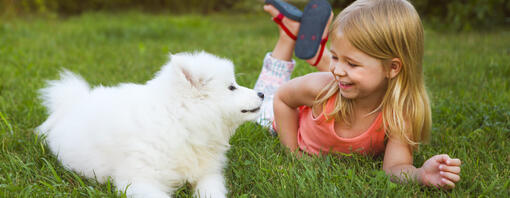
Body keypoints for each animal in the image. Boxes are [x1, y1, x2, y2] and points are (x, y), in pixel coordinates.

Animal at [36, 51, 262, 198]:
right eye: (232, 87)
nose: (262, 93)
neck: (179, 123)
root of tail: (73, 102)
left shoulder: (207, 173)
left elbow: (211, 191)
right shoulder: (138, 180)